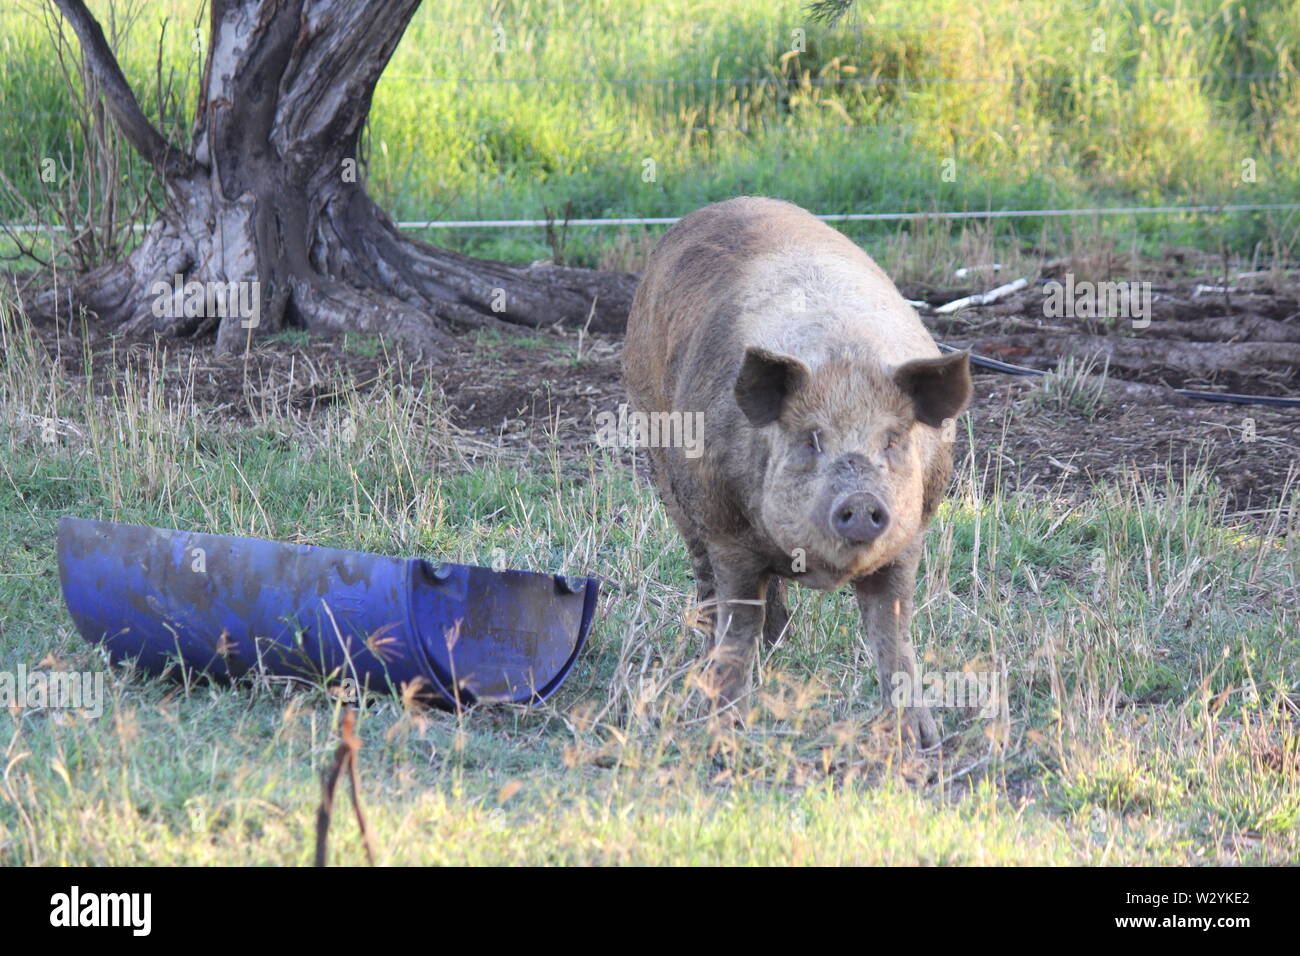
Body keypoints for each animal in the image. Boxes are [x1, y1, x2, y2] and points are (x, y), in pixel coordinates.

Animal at [624, 196, 972, 749]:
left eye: (893, 440)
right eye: (811, 438)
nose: (860, 501)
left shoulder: (911, 533)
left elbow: (893, 632)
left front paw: (921, 739)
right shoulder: (728, 533)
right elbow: (738, 625)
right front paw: (724, 728)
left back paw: (777, 642)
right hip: (659, 453)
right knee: (703, 574)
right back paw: (711, 652)